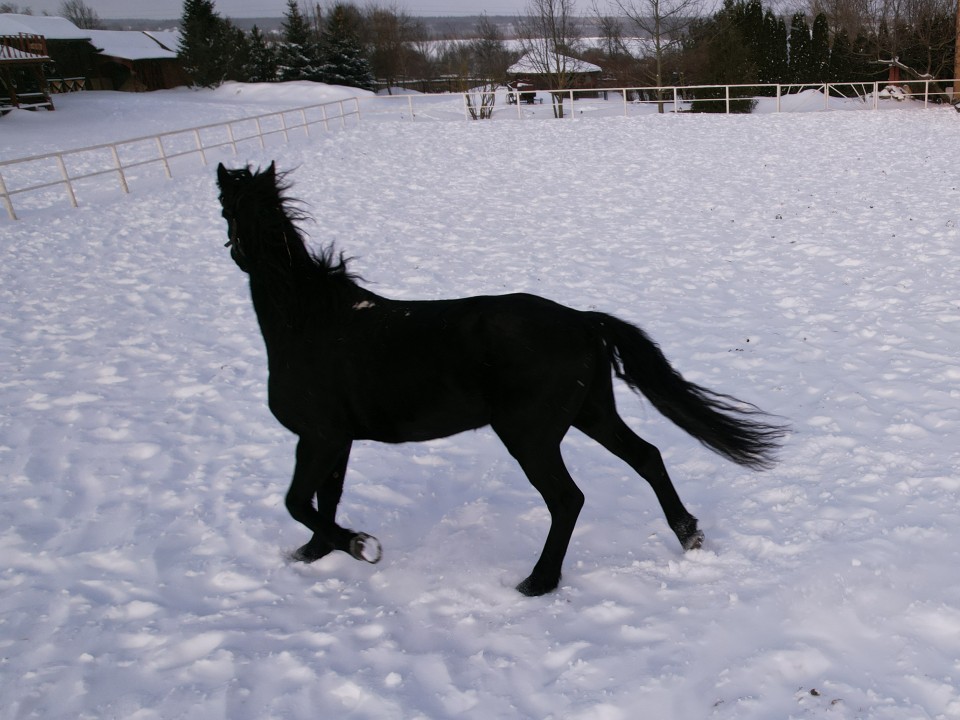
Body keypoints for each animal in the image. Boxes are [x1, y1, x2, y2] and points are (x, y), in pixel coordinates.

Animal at [214, 163, 784, 596]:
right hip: (591, 414)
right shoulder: (338, 440)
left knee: (568, 499)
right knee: (647, 458)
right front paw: (316, 552)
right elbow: (323, 500)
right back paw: (688, 536)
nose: (231, 249)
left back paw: (539, 581)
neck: (311, 322)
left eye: (224, 207)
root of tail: (583, 321)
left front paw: (358, 545)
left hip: (530, 436)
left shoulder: (318, 437)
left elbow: (298, 501)